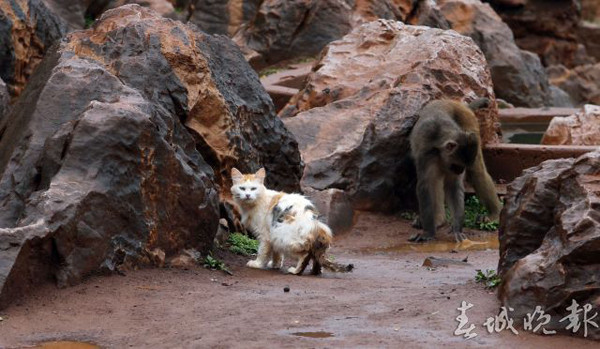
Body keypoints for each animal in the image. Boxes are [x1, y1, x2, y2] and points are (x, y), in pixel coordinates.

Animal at [408, 96, 502, 241]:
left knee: (477, 171)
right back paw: (438, 220)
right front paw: (429, 232)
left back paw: (494, 214)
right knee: (435, 181)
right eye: (457, 166)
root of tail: (457, 103)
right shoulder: (427, 157)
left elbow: (453, 186)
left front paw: (457, 229)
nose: (460, 171)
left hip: (468, 120)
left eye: (462, 167)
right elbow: (426, 185)